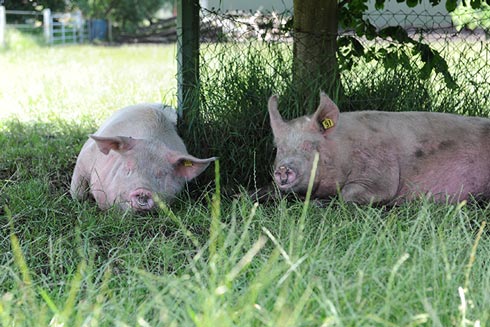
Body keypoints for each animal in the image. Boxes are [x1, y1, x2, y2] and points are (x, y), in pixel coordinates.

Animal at [270, 92, 490, 205]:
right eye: (279, 148)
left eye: (309, 145)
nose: (283, 168)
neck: (342, 151)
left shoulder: (380, 175)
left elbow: (347, 194)